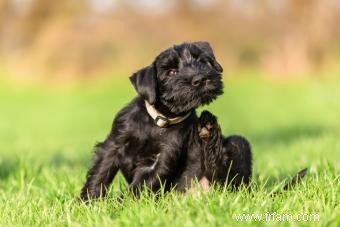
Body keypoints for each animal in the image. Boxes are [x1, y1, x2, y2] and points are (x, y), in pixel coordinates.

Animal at [79, 41, 250, 200]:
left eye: (201, 61)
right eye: (171, 72)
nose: (200, 79)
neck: (159, 121)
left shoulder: (162, 157)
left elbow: (140, 184)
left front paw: (121, 204)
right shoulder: (114, 144)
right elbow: (101, 173)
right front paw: (88, 201)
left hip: (238, 144)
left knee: (225, 180)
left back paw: (209, 128)